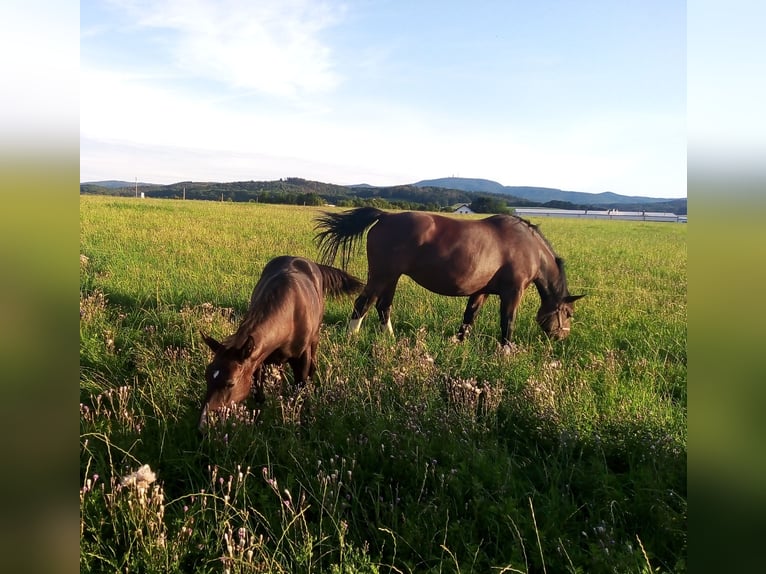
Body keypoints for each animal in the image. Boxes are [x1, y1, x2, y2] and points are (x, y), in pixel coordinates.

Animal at [198, 258, 366, 432]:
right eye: (207, 376)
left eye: (230, 383)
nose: (203, 425)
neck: (290, 314)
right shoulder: (258, 357)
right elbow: (258, 392)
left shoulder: (301, 357)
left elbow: (300, 389)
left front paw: (303, 421)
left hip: (315, 339)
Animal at [316, 208, 584, 348]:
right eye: (569, 313)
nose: (562, 337)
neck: (529, 247)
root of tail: (386, 216)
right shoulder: (513, 292)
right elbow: (508, 320)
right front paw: (506, 350)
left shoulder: (481, 291)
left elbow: (470, 315)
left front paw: (460, 341)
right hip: (382, 276)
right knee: (363, 303)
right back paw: (352, 337)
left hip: (391, 277)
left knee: (383, 305)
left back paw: (389, 337)